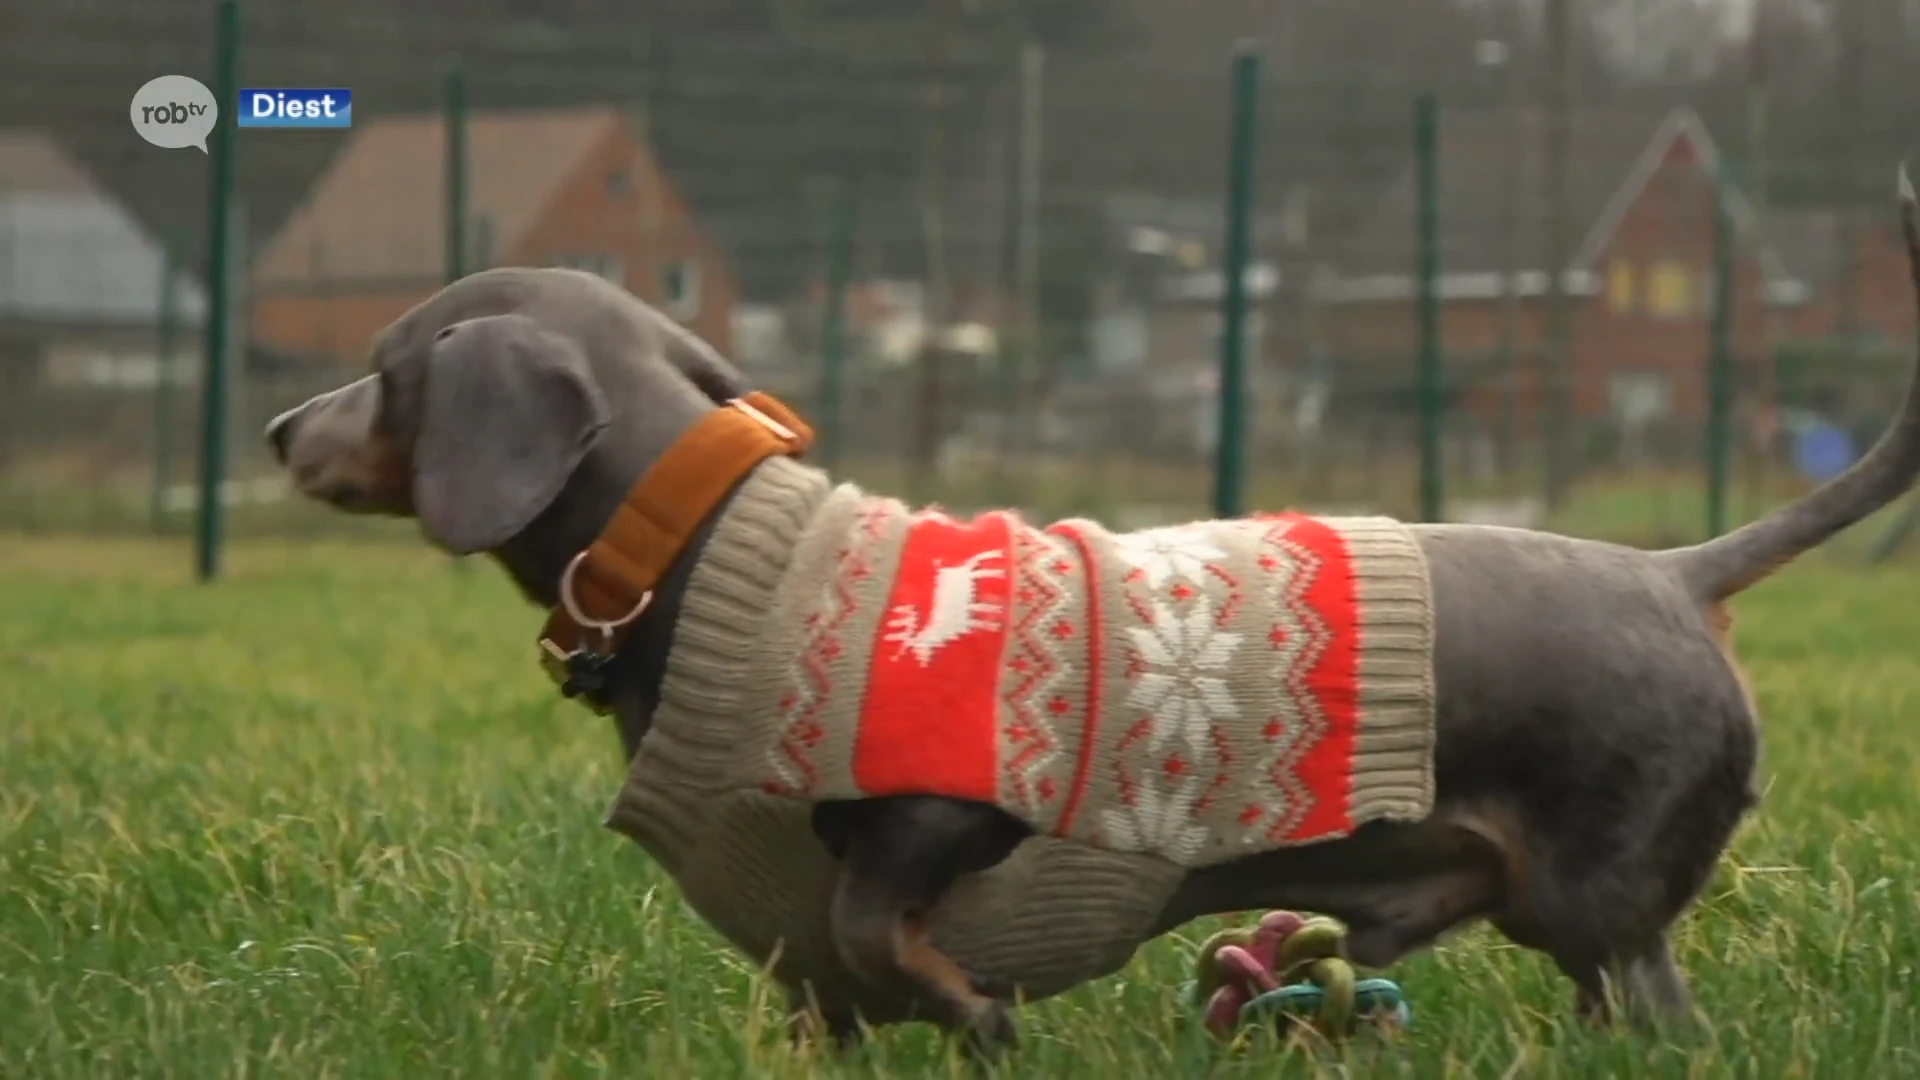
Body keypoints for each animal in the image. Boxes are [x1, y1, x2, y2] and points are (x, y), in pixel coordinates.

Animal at [266, 174, 1920, 1053]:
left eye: (388, 365)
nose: (280, 428)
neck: (722, 554)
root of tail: (1676, 571)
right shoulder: (796, 973)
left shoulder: (947, 806)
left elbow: (883, 924)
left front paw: (980, 1014)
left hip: (1601, 906)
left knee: (1664, 1018)